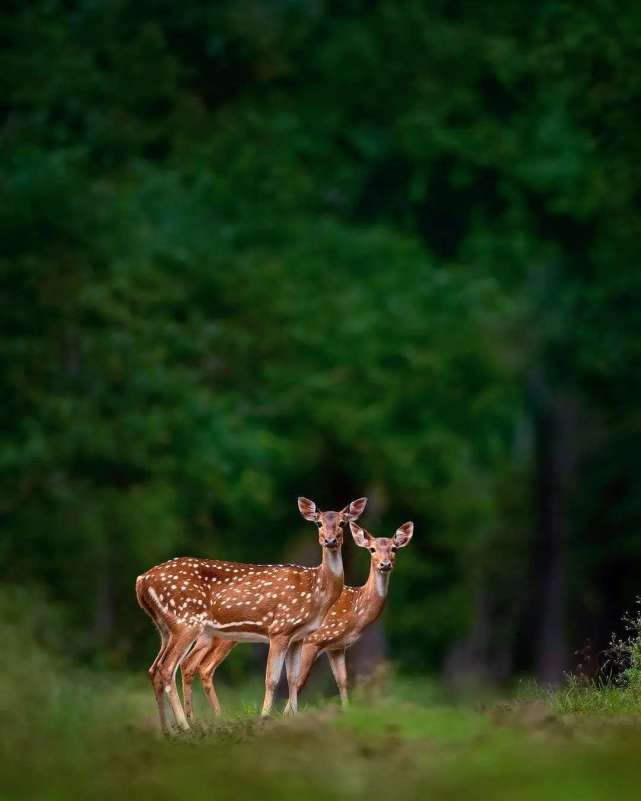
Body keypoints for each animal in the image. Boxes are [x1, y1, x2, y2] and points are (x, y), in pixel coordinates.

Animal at [134, 496, 364, 736]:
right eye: (318, 523)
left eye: (343, 523)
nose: (330, 540)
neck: (316, 591)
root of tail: (141, 580)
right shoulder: (279, 628)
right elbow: (272, 679)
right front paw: (264, 718)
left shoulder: (298, 636)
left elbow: (293, 679)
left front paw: (292, 719)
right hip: (185, 621)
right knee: (167, 668)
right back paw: (184, 726)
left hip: (165, 627)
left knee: (154, 668)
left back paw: (167, 730)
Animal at [179, 520, 416, 720]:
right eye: (372, 549)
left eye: (394, 549)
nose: (385, 564)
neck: (356, 610)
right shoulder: (316, 639)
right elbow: (300, 679)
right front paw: (287, 714)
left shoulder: (337, 647)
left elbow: (342, 681)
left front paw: (346, 711)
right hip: (223, 637)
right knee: (202, 666)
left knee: (195, 665)